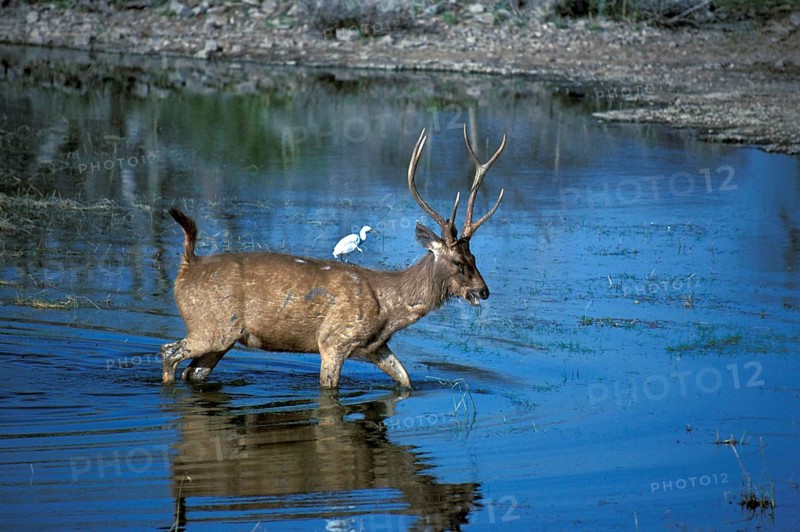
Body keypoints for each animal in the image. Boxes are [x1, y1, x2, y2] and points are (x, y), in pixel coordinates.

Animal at [161, 125, 505, 388]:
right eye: (458, 262)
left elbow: (406, 380)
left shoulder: (376, 347)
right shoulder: (333, 341)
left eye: (475, 257)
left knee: (194, 372)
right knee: (169, 352)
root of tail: (187, 266)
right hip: (211, 326)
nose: (484, 291)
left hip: (223, 337)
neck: (388, 307)